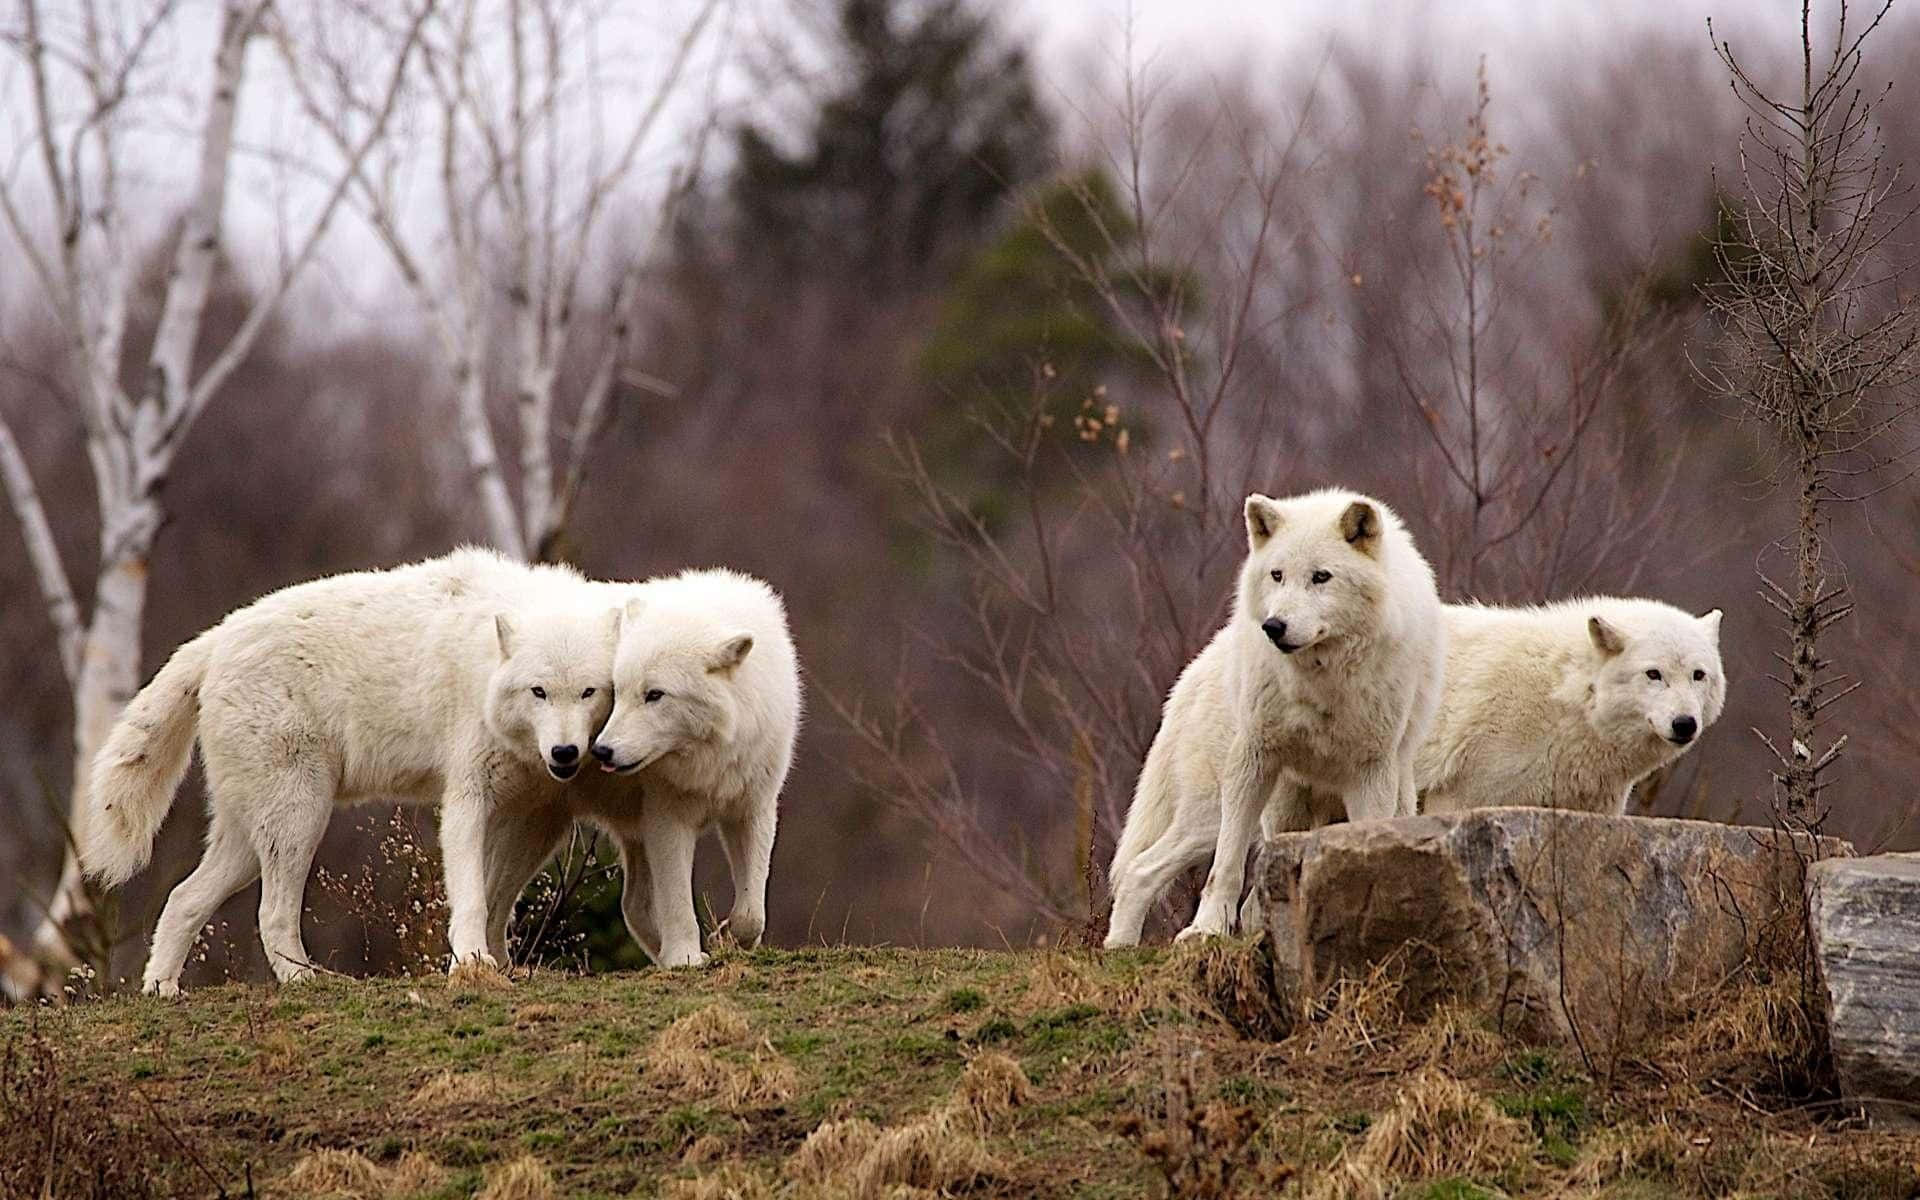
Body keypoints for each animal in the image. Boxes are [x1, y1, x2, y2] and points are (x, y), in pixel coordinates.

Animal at [81, 548, 619, 995]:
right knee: (270, 914)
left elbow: (498, 897)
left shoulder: (537, 818)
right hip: (299, 819)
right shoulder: (468, 797)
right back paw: (307, 979)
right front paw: (471, 965)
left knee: (181, 899)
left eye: (589, 692)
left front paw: (500, 966)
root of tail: (217, 637)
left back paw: (162, 991)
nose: (565, 752)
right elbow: (471, 897)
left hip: (250, 838)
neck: (484, 664)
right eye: (539, 692)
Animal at [1104, 489, 1445, 948]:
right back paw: (1119, 947)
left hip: (1382, 794)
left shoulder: (1371, 772)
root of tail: (1193, 670)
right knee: (1141, 869)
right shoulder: (1254, 757)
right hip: (1224, 814)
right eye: (1277, 575)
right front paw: (1205, 929)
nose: (1274, 626)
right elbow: (1225, 869)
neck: (1319, 680)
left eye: (1321, 577)